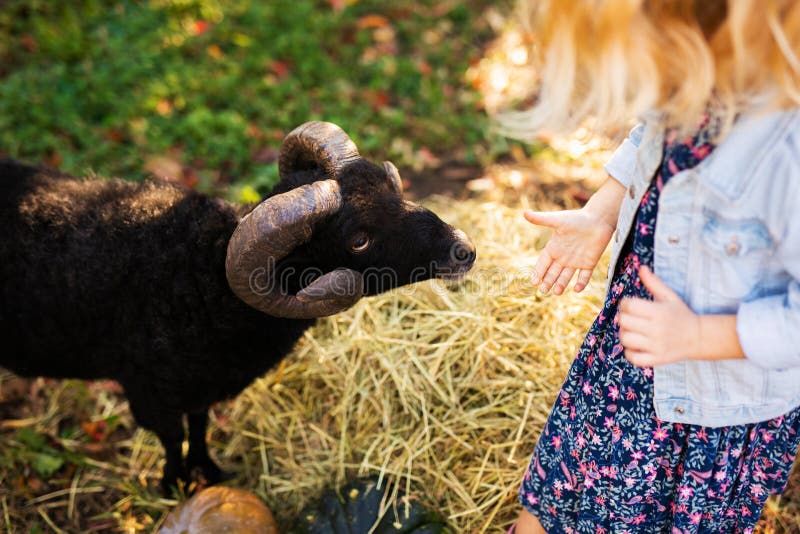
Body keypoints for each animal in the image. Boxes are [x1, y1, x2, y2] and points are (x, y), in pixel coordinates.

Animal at [0, 122, 476, 494]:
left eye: (389, 186)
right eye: (358, 239)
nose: (464, 249)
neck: (198, 278)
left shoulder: (201, 385)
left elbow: (199, 426)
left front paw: (209, 472)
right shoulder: (148, 391)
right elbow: (172, 437)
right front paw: (174, 484)